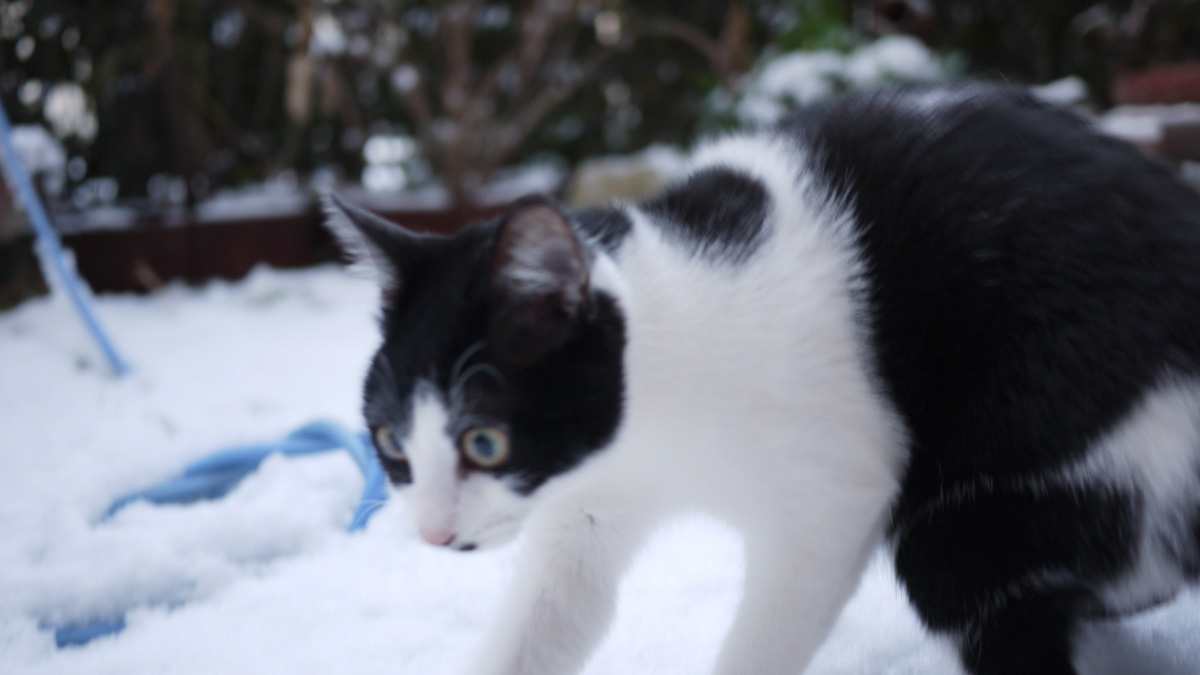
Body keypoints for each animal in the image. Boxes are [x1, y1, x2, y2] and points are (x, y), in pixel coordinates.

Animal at [323, 82, 1200, 675]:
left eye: (485, 440)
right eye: (390, 442)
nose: (435, 533)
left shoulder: (834, 498)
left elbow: (764, 638)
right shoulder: (584, 511)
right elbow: (546, 619)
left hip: (1004, 484)